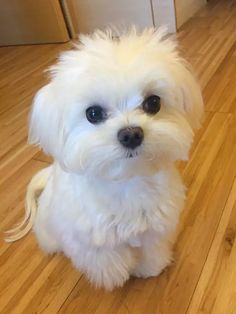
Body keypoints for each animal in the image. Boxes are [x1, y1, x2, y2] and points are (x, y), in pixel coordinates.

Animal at [6, 28, 204, 290]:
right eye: (93, 113)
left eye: (153, 102)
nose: (131, 134)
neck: (125, 181)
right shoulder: (86, 237)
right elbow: (104, 258)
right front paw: (115, 275)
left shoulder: (155, 228)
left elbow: (151, 250)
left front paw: (149, 268)